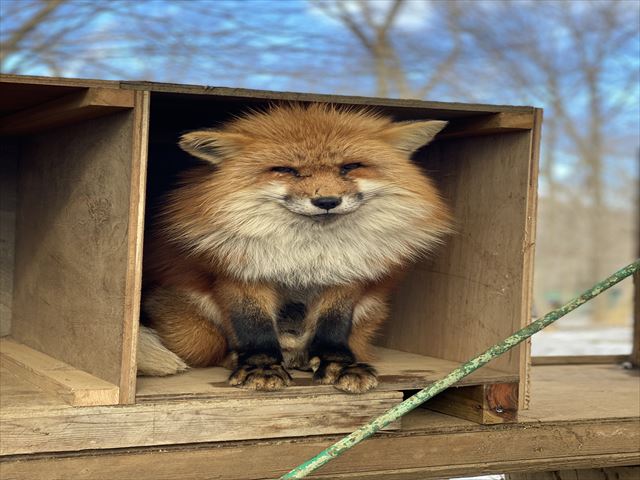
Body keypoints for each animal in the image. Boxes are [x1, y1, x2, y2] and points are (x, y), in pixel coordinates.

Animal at [138, 103, 452, 393]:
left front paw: (337, 363)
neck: (307, 254)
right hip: (195, 334)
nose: (327, 201)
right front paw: (261, 366)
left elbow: (333, 327)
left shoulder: (345, 275)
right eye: (286, 170)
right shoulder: (242, 274)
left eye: (350, 167)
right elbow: (254, 327)